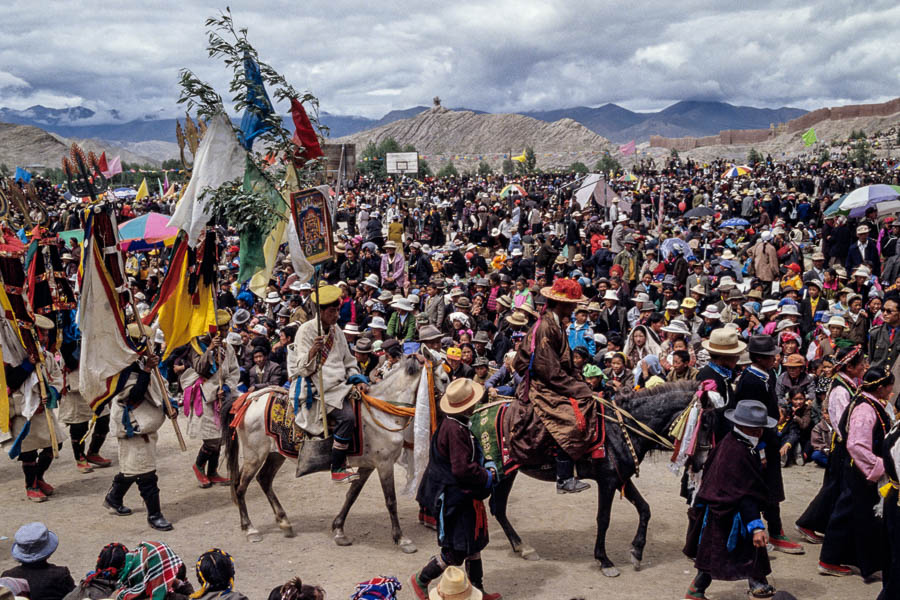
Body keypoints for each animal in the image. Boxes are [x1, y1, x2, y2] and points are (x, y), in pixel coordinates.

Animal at [223, 346, 448, 552]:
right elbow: (391, 500)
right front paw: (401, 539)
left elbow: (351, 495)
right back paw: (250, 529)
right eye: (445, 379)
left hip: (276, 454)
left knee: (264, 480)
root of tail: (249, 399)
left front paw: (339, 530)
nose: (450, 409)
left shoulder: (369, 466)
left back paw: (284, 522)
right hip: (254, 455)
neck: (382, 412)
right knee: (240, 487)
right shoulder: (384, 464)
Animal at [488, 384, 700, 576]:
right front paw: (604, 560)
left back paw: (522, 547)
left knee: (498, 508)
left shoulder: (620, 478)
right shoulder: (607, 481)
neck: (622, 430)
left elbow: (645, 509)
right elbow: (603, 519)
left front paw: (637, 552)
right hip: (502, 472)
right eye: (703, 425)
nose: (701, 463)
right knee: (497, 507)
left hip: (506, 474)